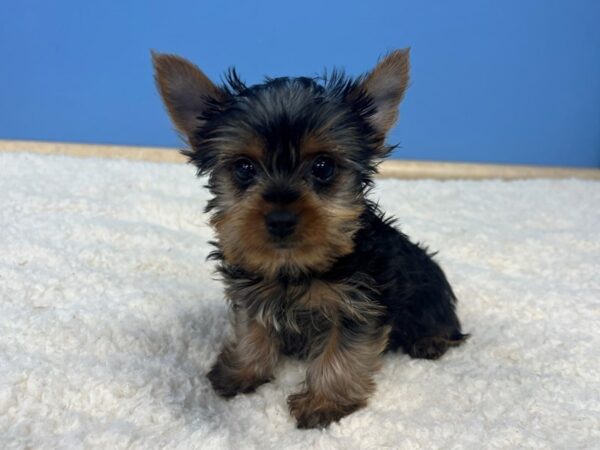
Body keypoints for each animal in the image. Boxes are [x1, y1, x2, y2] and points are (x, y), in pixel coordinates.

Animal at [151, 50, 468, 428]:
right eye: (244, 168)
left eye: (323, 167)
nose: (281, 219)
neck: (293, 266)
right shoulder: (251, 292)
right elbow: (251, 328)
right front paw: (242, 371)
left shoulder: (359, 305)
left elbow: (343, 351)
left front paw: (324, 402)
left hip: (430, 296)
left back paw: (431, 341)